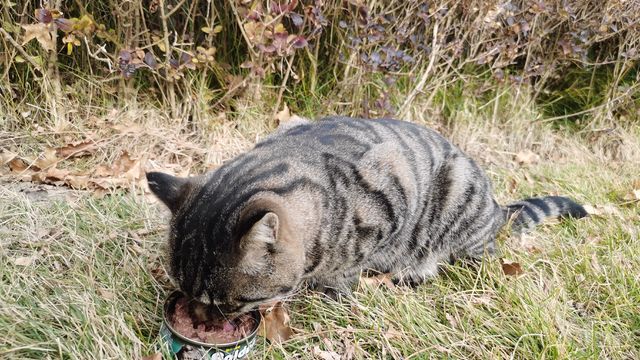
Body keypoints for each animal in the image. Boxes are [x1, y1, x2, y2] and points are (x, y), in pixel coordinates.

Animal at [148, 117, 588, 316]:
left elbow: (349, 262)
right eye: (185, 293)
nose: (203, 320)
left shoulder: (391, 197)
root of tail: (497, 208)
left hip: (459, 206)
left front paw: (333, 290)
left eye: (229, 304)